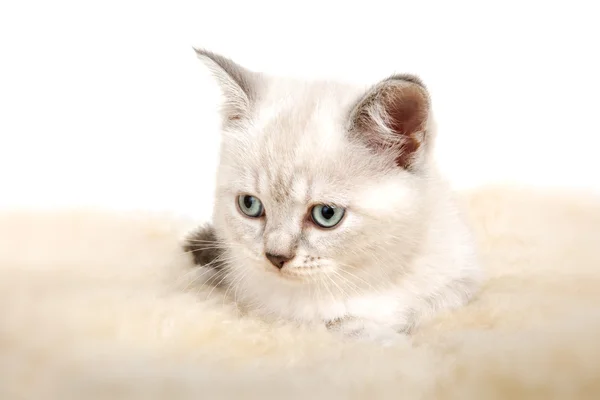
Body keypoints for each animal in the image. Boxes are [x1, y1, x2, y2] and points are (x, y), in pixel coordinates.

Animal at [184, 50, 482, 344]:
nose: (276, 257)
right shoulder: (276, 311)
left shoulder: (463, 280)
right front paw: (387, 338)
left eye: (326, 214)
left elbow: (429, 309)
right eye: (250, 205)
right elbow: (347, 326)